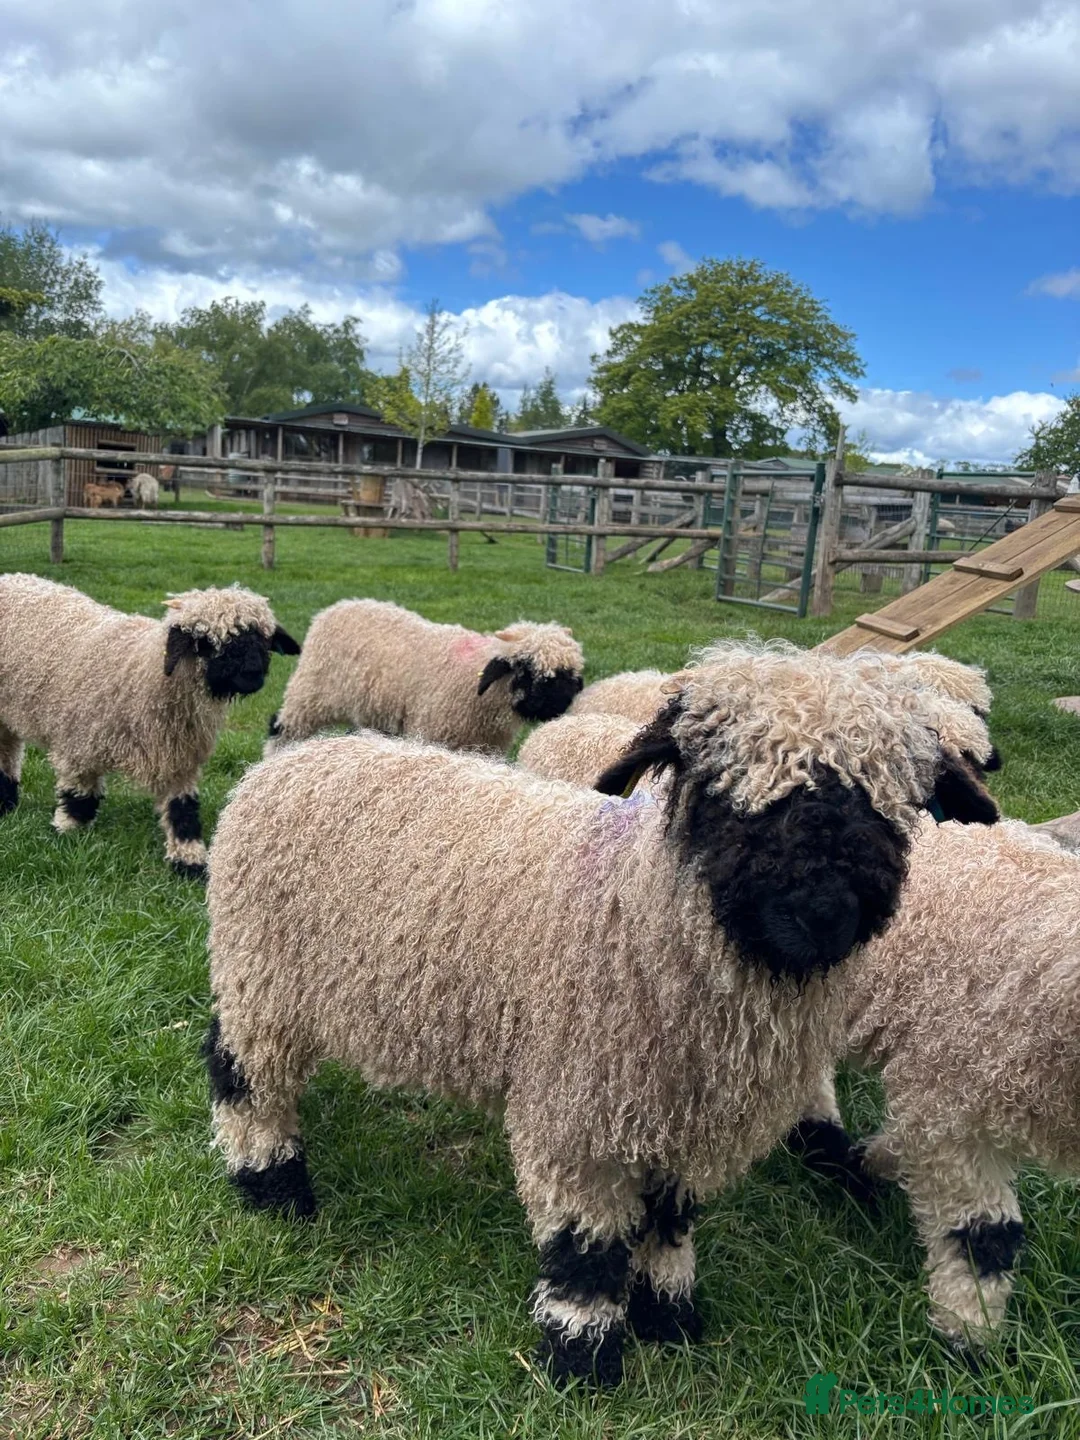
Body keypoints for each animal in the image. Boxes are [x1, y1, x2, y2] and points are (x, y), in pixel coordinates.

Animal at [0, 575, 299, 877]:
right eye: (205, 642)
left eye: (263, 638)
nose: (252, 674)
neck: (142, 674)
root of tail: (13, 577)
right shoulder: (78, 744)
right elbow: (78, 796)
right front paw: (68, 830)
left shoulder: (178, 758)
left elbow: (182, 810)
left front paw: (189, 860)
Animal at [204, 641, 995, 1387]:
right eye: (725, 793)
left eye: (892, 807)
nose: (824, 912)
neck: (638, 912)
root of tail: (286, 764)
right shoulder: (577, 1115)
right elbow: (585, 1248)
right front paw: (583, 1358)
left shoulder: (684, 1118)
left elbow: (668, 1223)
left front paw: (669, 1316)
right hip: (259, 980)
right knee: (242, 1076)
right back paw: (272, 1186)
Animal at [264, 599, 584, 758]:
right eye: (526, 670)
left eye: (571, 676)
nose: (559, 709)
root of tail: (338, 606)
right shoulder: (434, 731)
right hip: (309, 694)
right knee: (282, 730)